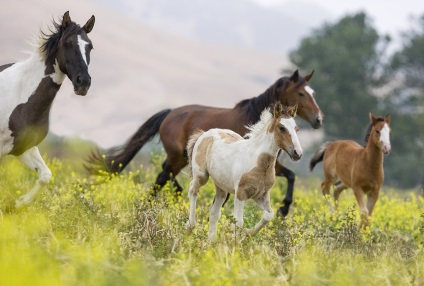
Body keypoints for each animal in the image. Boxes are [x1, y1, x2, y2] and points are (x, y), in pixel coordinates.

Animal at [0, 11, 95, 208]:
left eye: (90, 47)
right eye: (67, 43)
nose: (83, 83)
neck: (21, 93)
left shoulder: (23, 148)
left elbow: (45, 176)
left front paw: (19, 203)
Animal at [87, 70, 322, 217]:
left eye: (313, 93)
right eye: (301, 93)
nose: (319, 119)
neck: (254, 119)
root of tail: (169, 113)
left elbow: (291, 175)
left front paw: (283, 210)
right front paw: (283, 209)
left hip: (181, 157)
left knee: (165, 173)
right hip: (177, 156)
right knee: (164, 175)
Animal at [186, 101, 302, 240]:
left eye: (296, 129)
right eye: (281, 127)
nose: (297, 153)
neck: (259, 163)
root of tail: (205, 133)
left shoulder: (261, 195)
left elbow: (268, 216)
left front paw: (247, 233)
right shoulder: (241, 193)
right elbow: (239, 222)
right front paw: (235, 241)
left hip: (222, 186)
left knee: (214, 211)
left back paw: (211, 241)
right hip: (201, 175)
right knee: (193, 190)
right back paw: (190, 226)